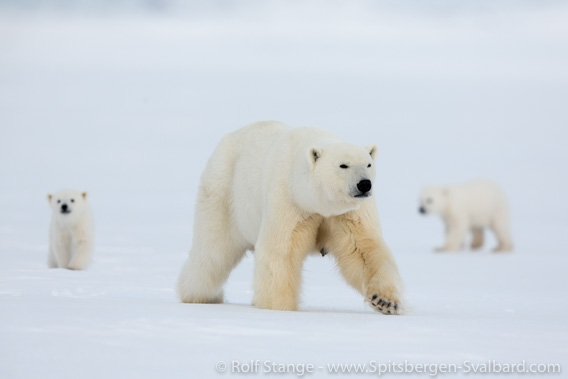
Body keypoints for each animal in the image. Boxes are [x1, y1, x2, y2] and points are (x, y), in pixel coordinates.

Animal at [178, 121, 404, 314]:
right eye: (343, 165)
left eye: (368, 164)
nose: (364, 184)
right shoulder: (289, 199)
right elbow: (281, 252)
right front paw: (279, 307)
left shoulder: (348, 214)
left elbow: (363, 249)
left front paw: (385, 301)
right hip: (224, 194)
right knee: (213, 252)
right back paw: (199, 295)